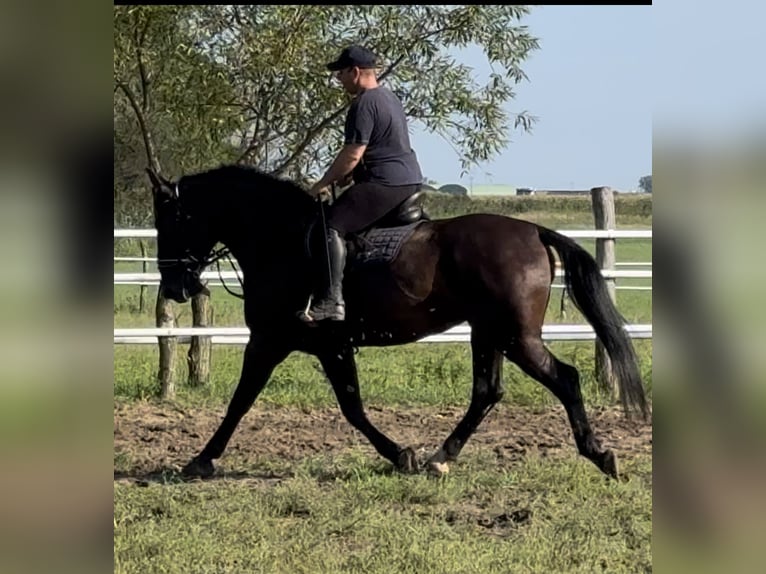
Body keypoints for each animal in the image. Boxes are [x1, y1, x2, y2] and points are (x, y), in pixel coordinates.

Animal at [147, 165, 652, 482]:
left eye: (169, 221)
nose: (174, 287)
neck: (280, 241)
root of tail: (532, 230)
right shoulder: (305, 344)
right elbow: (314, 403)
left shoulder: (288, 341)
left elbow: (264, 403)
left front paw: (201, 459)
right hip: (488, 333)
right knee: (486, 392)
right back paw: (440, 459)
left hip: (515, 336)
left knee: (563, 379)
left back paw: (600, 455)